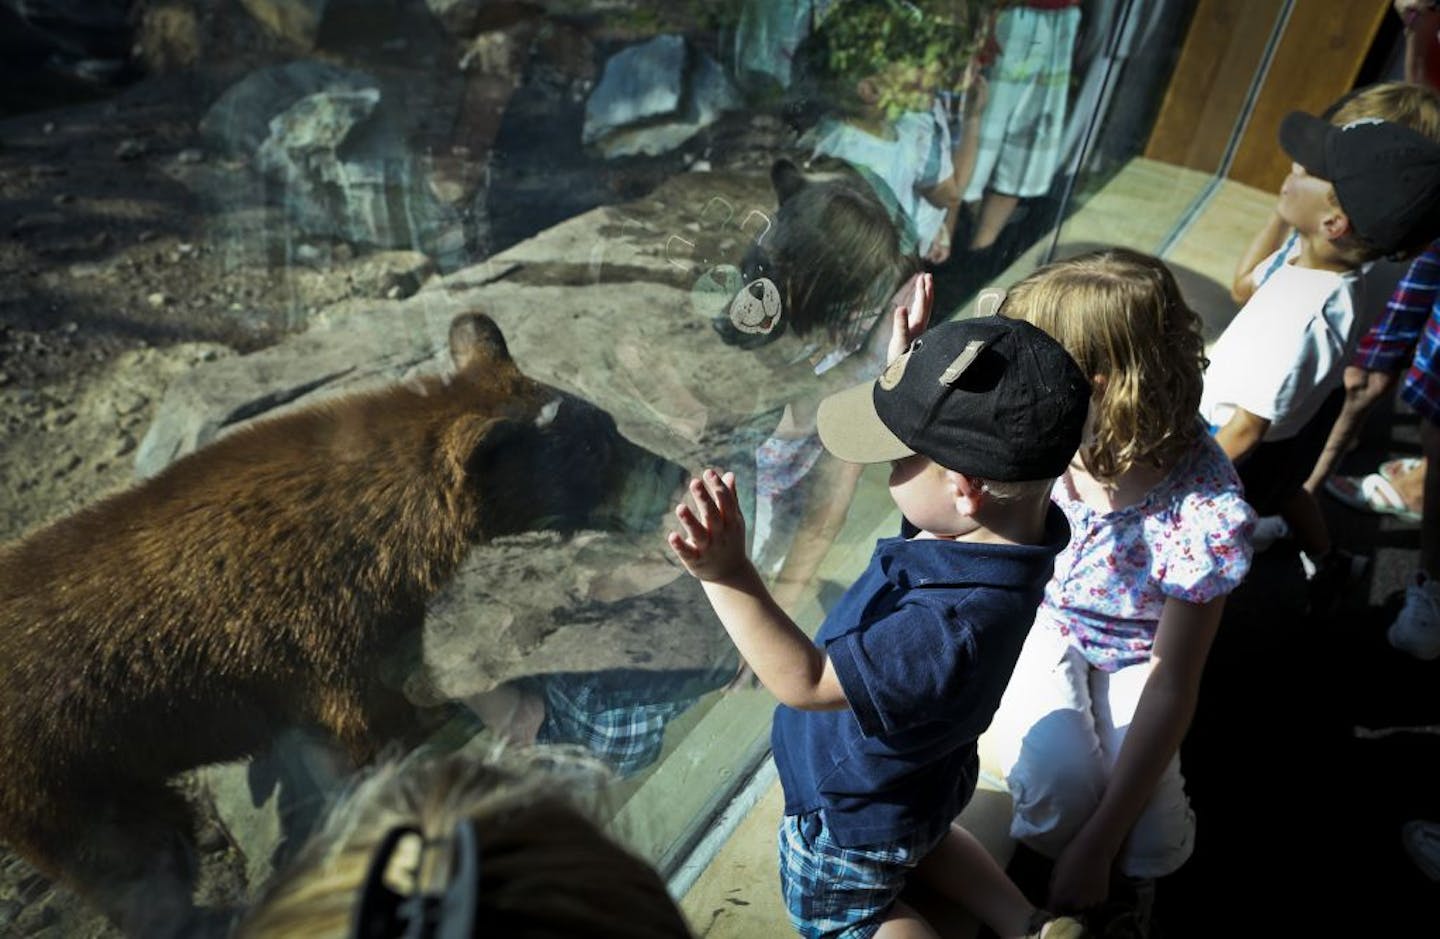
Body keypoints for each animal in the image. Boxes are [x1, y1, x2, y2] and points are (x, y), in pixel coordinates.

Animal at [0, 311, 679, 933]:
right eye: (596, 450)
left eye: (609, 426)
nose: (675, 477)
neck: (384, 540)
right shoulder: (319, 630)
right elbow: (366, 724)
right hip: (65, 775)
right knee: (138, 860)